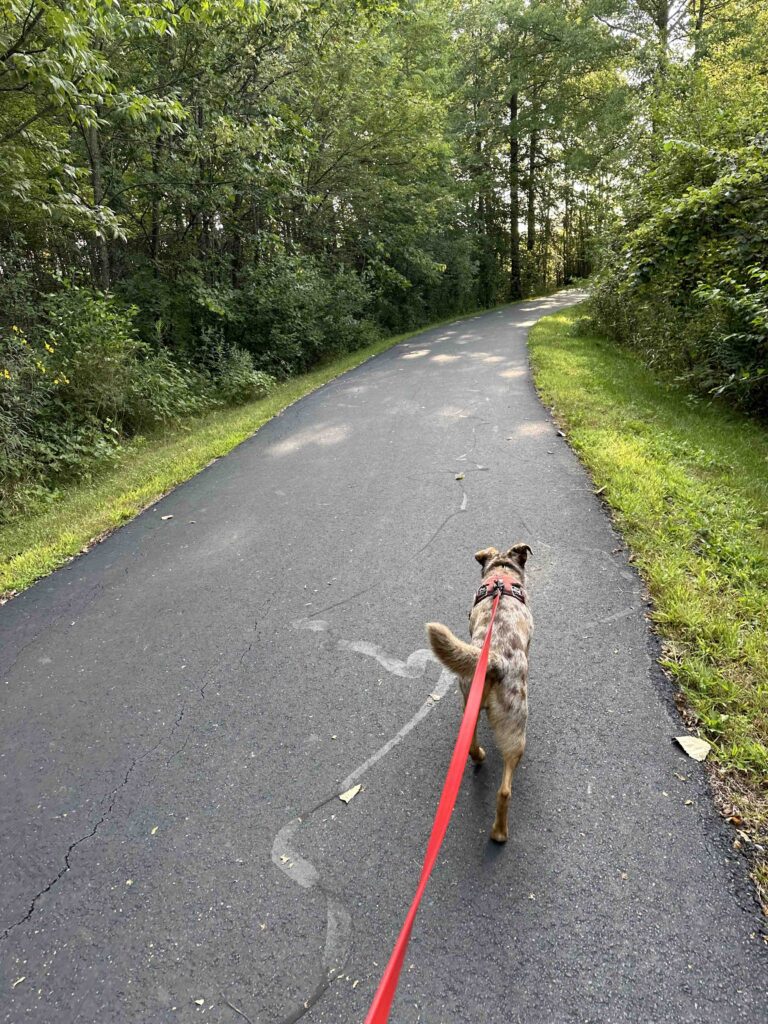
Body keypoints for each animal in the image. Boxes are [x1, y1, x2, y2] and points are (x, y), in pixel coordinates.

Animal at [428, 544, 536, 839]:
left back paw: (479, 756)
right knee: (505, 790)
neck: (501, 574)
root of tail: (495, 659)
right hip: (516, 728)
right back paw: (499, 832)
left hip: (470, 703)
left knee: (471, 745)